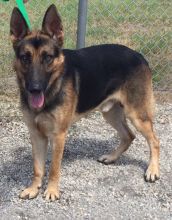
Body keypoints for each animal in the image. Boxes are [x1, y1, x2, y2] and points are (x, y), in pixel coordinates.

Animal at [9, 4, 160, 201]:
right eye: (25, 57)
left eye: (47, 57)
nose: (35, 88)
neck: (52, 88)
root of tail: (139, 55)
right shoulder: (36, 134)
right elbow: (38, 167)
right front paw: (34, 188)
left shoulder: (58, 135)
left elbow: (54, 168)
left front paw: (52, 191)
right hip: (110, 113)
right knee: (129, 135)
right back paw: (112, 157)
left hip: (136, 115)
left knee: (154, 141)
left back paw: (153, 170)